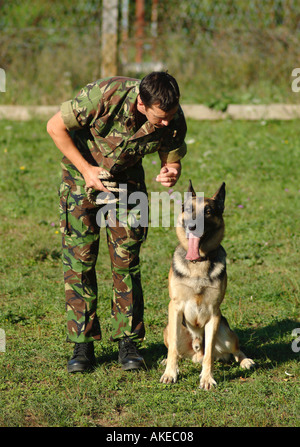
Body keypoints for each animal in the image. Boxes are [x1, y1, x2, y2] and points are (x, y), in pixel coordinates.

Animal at [161, 181, 254, 388]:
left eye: (209, 211)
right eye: (188, 209)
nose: (193, 227)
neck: (198, 262)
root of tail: (196, 351)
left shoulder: (214, 313)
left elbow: (209, 353)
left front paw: (207, 378)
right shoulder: (175, 307)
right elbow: (173, 350)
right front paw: (170, 373)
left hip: (225, 332)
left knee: (235, 349)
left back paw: (245, 361)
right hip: (169, 329)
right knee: (176, 350)